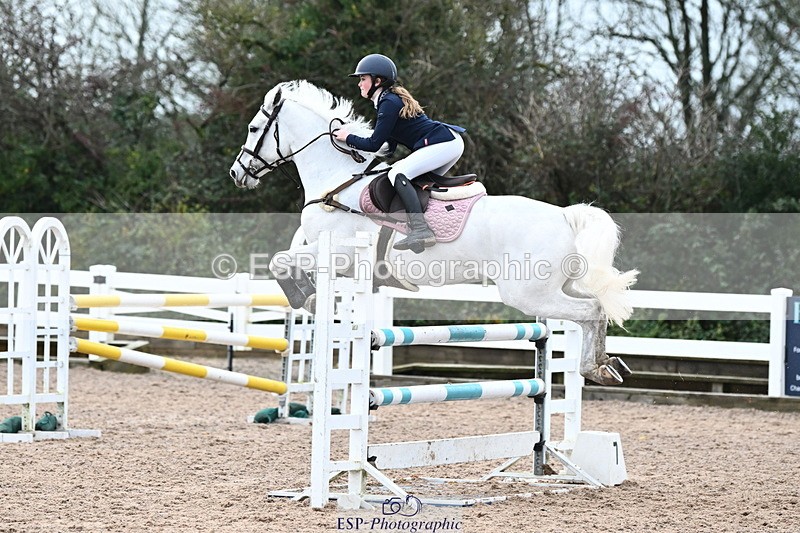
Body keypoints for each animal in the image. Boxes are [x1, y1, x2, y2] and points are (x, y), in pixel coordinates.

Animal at [229, 80, 639, 385]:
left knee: (589, 311)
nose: (237, 173)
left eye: (252, 129)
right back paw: (605, 365)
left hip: (529, 293)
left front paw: (308, 298)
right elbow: (287, 262)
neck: (338, 181)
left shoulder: (339, 252)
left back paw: (593, 367)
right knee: (596, 306)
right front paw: (311, 296)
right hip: (560, 285)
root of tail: (565, 216)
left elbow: (281, 261)